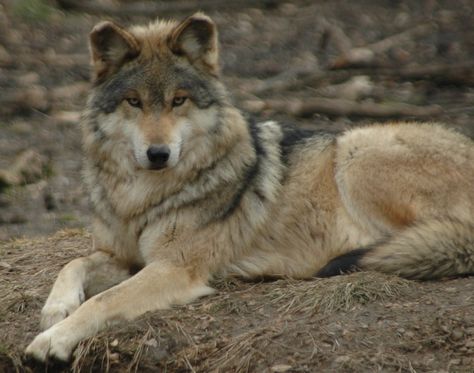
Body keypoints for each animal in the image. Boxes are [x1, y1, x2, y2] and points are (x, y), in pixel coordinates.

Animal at [25, 12, 474, 360]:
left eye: (178, 100)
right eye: (133, 102)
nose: (158, 154)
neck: (141, 196)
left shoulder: (173, 267)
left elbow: (104, 300)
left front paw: (50, 342)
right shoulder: (120, 255)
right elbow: (73, 263)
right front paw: (56, 309)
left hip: (356, 149)